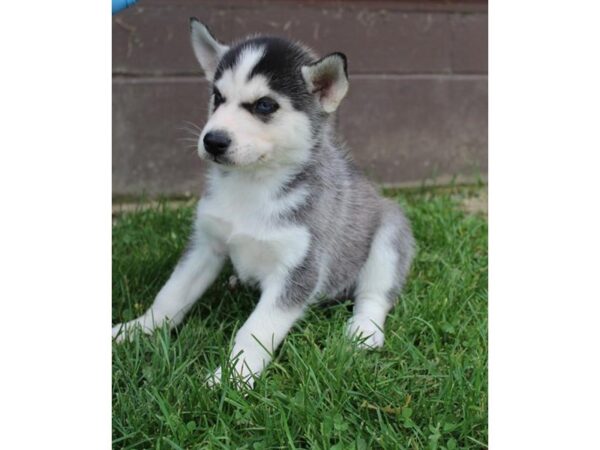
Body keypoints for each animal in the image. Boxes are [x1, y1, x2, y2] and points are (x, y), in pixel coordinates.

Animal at [111, 18, 412, 386]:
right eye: (217, 97)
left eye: (265, 105)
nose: (213, 141)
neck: (252, 186)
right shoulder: (205, 245)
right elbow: (171, 295)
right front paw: (137, 330)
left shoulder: (298, 269)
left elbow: (256, 330)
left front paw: (233, 377)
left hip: (389, 234)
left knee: (375, 295)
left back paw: (364, 331)